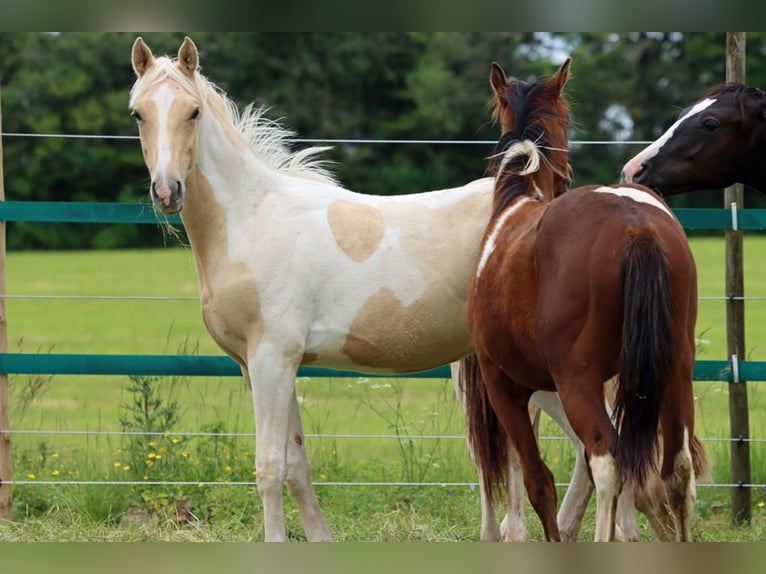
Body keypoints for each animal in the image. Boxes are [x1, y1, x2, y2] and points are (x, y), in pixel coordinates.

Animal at [468, 60, 704, 544]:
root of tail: (637, 225)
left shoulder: (504, 385)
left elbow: (538, 480)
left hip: (577, 382)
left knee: (607, 460)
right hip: (674, 371)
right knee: (676, 468)